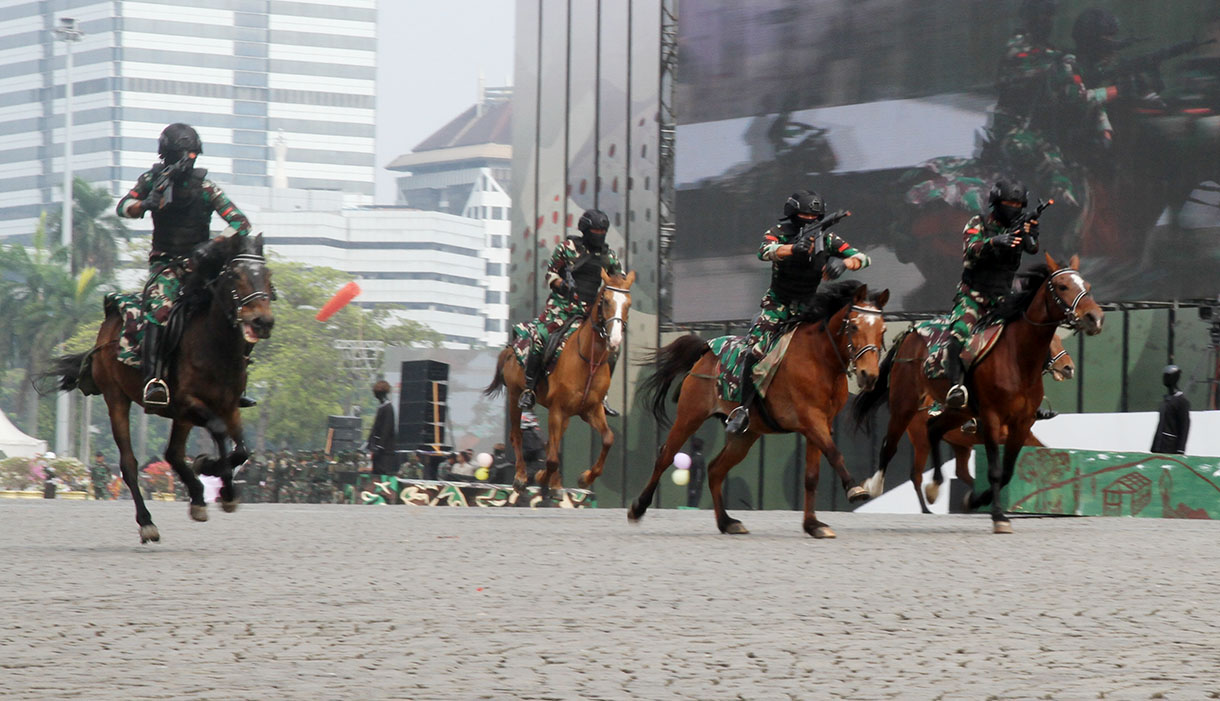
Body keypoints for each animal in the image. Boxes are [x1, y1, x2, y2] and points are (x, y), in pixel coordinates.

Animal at [44, 234, 274, 543]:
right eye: (236, 275)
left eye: (267, 276)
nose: (263, 321)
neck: (214, 346)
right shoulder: (189, 402)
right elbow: (220, 433)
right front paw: (210, 467)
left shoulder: (228, 405)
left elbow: (241, 450)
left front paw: (222, 486)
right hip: (117, 397)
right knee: (129, 463)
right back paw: (147, 521)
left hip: (179, 416)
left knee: (172, 454)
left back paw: (198, 497)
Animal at [480, 268, 634, 504]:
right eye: (606, 300)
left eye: (628, 304)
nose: (615, 340)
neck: (588, 359)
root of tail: (511, 347)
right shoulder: (557, 409)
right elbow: (551, 457)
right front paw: (541, 477)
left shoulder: (591, 409)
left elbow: (607, 438)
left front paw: (584, 478)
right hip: (516, 395)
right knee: (517, 435)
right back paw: (522, 478)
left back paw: (555, 484)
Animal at [629, 282, 888, 541]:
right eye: (854, 326)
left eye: (883, 330)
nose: (869, 375)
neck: (819, 358)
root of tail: (705, 349)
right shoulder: (811, 419)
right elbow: (834, 454)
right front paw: (855, 489)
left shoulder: (822, 424)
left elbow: (811, 476)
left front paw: (813, 524)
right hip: (689, 416)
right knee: (666, 455)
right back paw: (638, 508)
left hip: (746, 435)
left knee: (715, 469)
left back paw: (727, 522)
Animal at [897, 331, 1078, 512]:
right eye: (1049, 344)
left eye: (1060, 340)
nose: (1068, 368)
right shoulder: (1003, 434)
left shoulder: (1023, 432)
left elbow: (1042, 447)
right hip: (921, 441)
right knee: (917, 475)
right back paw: (929, 506)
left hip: (960, 444)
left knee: (961, 471)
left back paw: (972, 497)